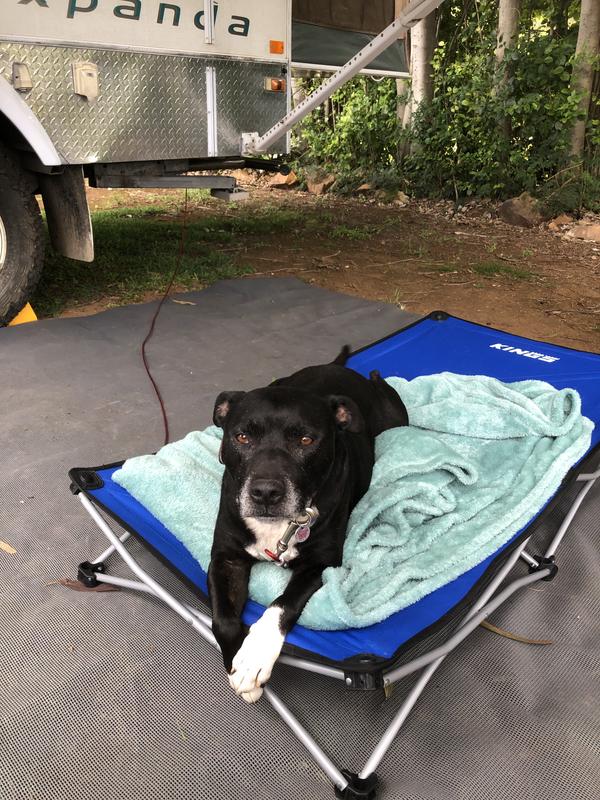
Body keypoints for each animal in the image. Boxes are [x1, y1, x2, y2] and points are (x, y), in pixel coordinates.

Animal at [206, 346, 408, 704]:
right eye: (241, 436)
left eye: (305, 440)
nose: (265, 492)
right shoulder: (225, 558)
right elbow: (224, 619)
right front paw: (237, 661)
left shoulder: (320, 564)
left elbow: (282, 604)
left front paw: (254, 657)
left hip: (396, 417)